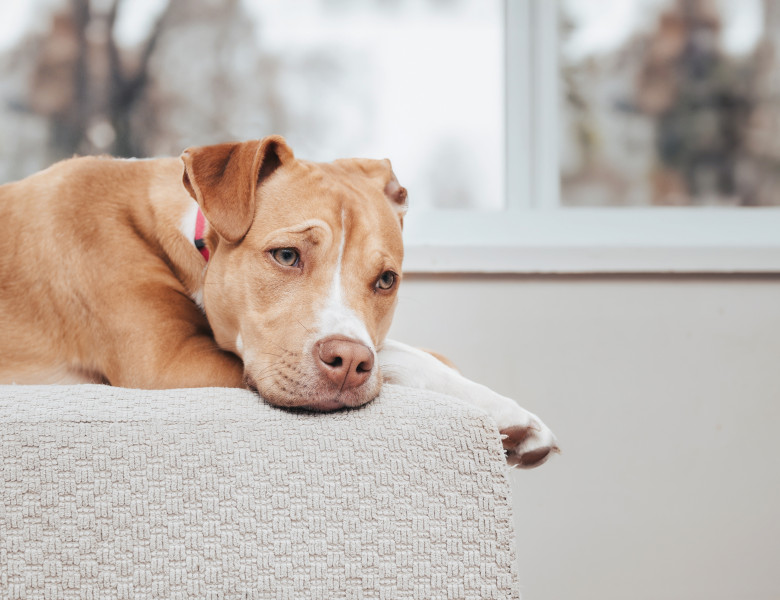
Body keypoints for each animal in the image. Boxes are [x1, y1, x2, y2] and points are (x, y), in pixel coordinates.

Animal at [1, 137, 560, 468]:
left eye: (386, 281)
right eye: (287, 255)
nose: (350, 362)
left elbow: (403, 350)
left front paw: (508, 412)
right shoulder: (167, 362)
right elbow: (399, 357)